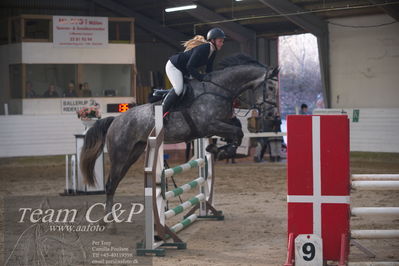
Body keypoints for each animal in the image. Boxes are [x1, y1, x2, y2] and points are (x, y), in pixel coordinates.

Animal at [78, 54, 278, 214]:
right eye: (270, 87)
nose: (271, 114)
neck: (219, 89)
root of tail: (115, 120)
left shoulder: (220, 123)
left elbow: (237, 130)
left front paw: (218, 149)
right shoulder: (209, 125)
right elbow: (236, 132)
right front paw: (221, 151)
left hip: (133, 153)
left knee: (115, 182)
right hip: (120, 154)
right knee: (110, 184)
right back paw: (108, 221)